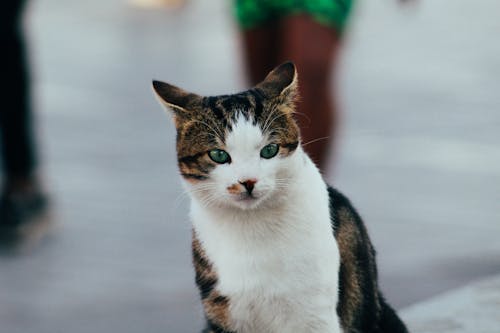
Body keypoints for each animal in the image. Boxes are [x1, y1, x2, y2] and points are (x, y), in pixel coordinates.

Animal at [151, 62, 406, 332]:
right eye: (218, 155)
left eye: (269, 150)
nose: (248, 181)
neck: (251, 226)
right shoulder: (222, 311)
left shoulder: (316, 314)